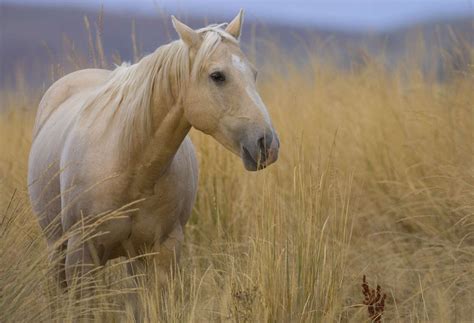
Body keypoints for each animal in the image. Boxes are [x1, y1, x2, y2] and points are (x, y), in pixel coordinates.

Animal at [27, 10, 280, 290]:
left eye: (254, 74)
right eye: (217, 76)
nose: (267, 144)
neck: (130, 164)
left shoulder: (163, 252)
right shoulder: (81, 253)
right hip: (57, 248)